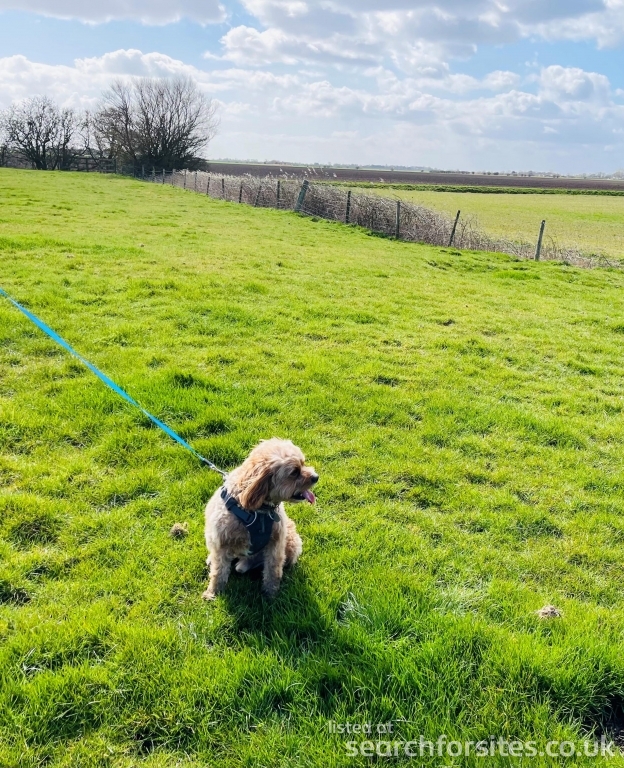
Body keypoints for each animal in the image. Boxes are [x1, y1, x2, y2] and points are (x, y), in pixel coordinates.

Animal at [202, 438, 318, 600]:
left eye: (303, 463)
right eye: (294, 472)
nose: (316, 476)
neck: (257, 511)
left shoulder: (276, 543)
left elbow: (273, 570)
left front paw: (271, 594)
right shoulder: (222, 543)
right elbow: (218, 572)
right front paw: (212, 592)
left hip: (292, 542)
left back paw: (243, 566)